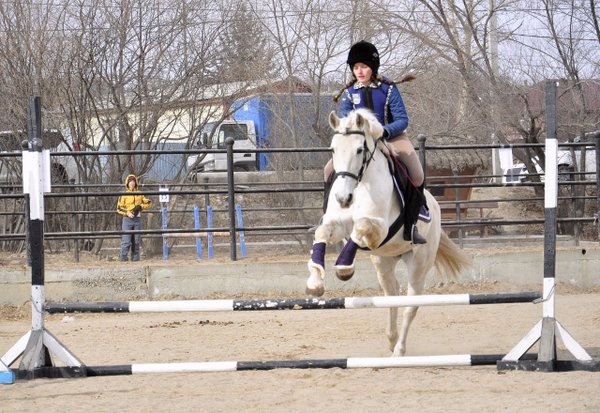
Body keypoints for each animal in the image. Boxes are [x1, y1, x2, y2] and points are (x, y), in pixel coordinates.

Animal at [308, 108, 472, 356]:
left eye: (359, 149)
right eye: (333, 149)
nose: (343, 198)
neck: (361, 183)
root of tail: (435, 206)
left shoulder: (380, 229)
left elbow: (361, 227)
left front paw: (344, 267)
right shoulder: (338, 222)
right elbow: (322, 233)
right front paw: (315, 282)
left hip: (419, 264)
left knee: (410, 305)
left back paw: (400, 350)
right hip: (384, 261)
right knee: (392, 295)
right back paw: (391, 339)